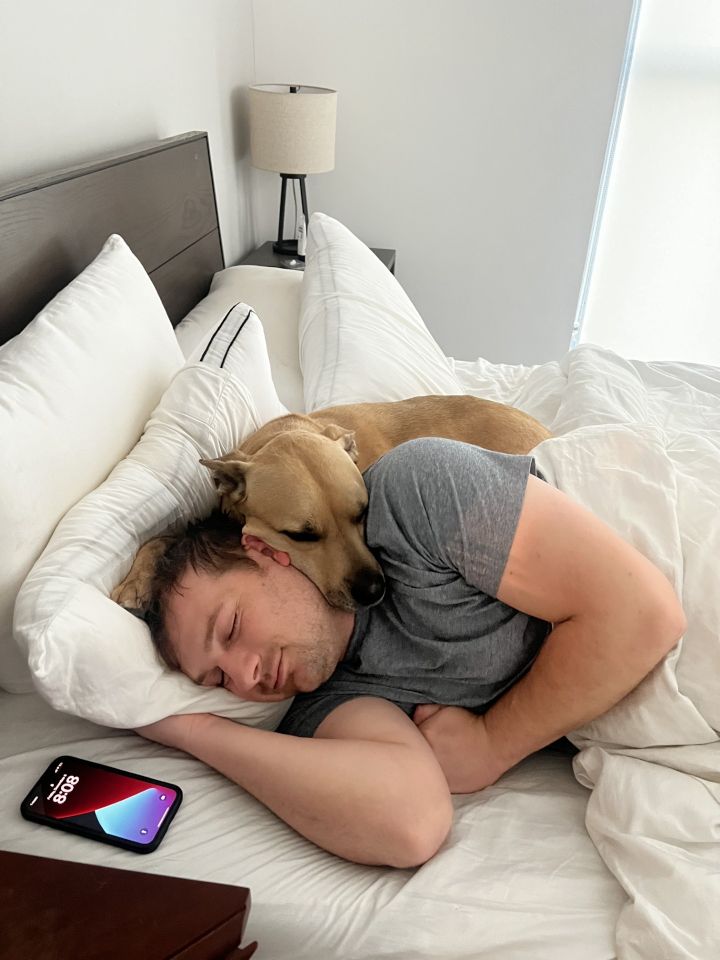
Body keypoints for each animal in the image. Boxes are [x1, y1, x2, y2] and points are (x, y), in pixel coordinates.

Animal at [112, 395, 550, 612]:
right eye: (300, 536)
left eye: (364, 512)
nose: (373, 591)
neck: (281, 434)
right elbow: (158, 537)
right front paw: (136, 580)